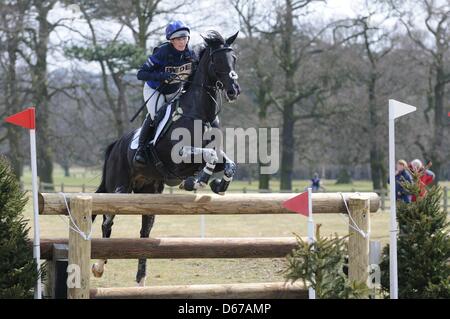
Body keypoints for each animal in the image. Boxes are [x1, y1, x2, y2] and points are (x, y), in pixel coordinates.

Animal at [90, 31, 239, 286]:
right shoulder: (178, 158)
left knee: (144, 234)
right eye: (217, 61)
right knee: (107, 220)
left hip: (149, 193)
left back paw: (140, 279)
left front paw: (217, 185)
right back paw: (99, 266)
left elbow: (227, 164)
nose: (234, 90)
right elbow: (206, 156)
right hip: (118, 187)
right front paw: (196, 181)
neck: (200, 113)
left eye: (234, 59)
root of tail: (116, 145)